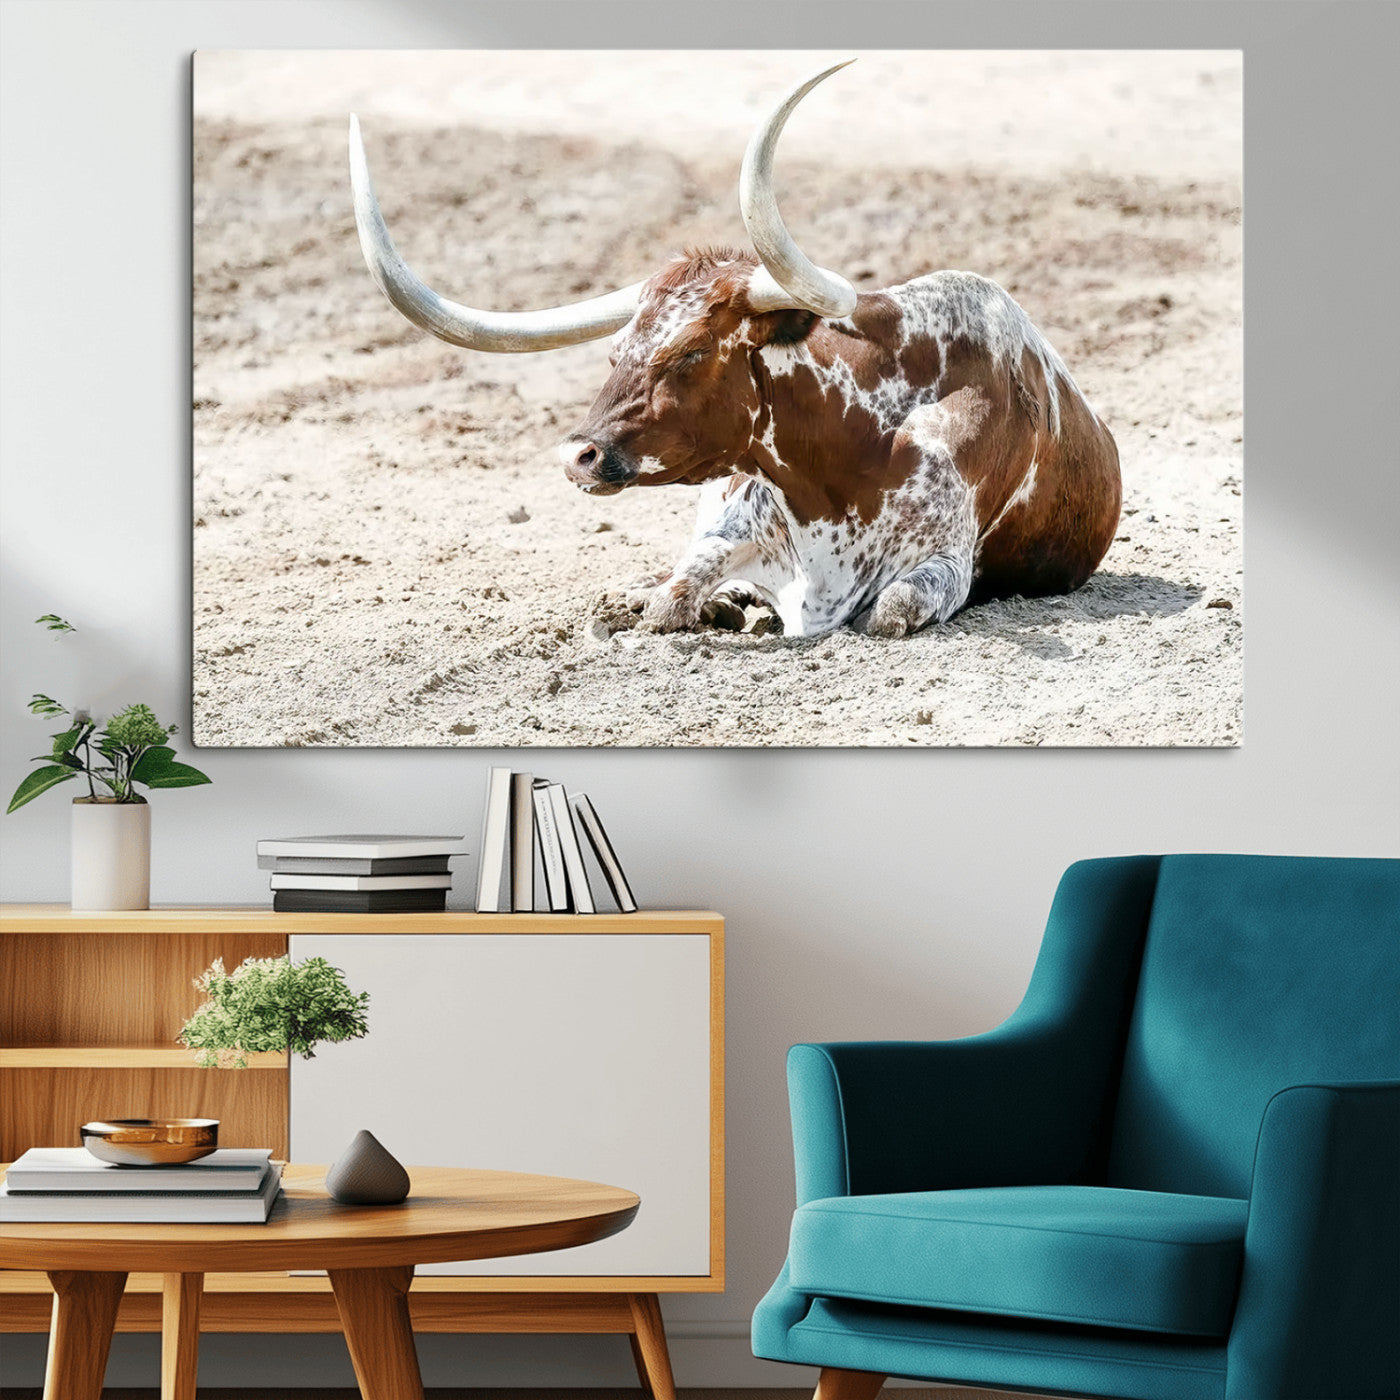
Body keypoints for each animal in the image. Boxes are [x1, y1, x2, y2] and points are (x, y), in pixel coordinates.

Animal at [349, 63, 1120, 639]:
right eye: (616, 352)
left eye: (691, 352)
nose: (578, 456)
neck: (849, 457)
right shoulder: (730, 523)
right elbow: (671, 595)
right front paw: (695, 603)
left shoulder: (943, 566)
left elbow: (888, 611)